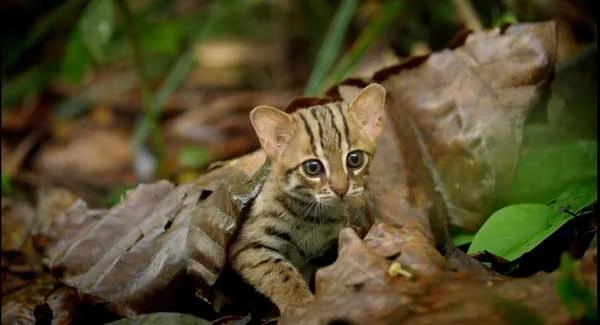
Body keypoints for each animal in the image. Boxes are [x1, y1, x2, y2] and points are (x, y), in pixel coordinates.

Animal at [227, 83, 386, 312]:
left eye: (355, 159)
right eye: (312, 167)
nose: (341, 190)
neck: (314, 216)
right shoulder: (247, 246)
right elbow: (279, 273)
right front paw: (302, 306)